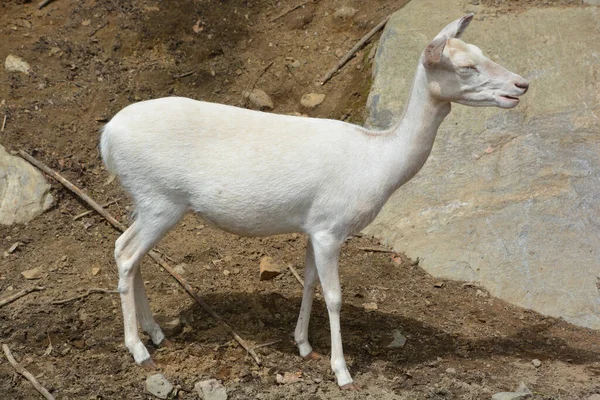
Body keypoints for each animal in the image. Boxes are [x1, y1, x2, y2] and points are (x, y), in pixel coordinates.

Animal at [99, 14, 528, 390]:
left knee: (128, 250)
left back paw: (156, 333)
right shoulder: (331, 228)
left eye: (482, 49)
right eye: (467, 66)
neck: (378, 162)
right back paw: (139, 350)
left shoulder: (312, 225)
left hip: (146, 202)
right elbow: (335, 297)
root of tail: (106, 137)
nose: (521, 84)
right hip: (161, 200)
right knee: (125, 252)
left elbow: (308, 281)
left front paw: (304, 346)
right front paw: (343, 373)